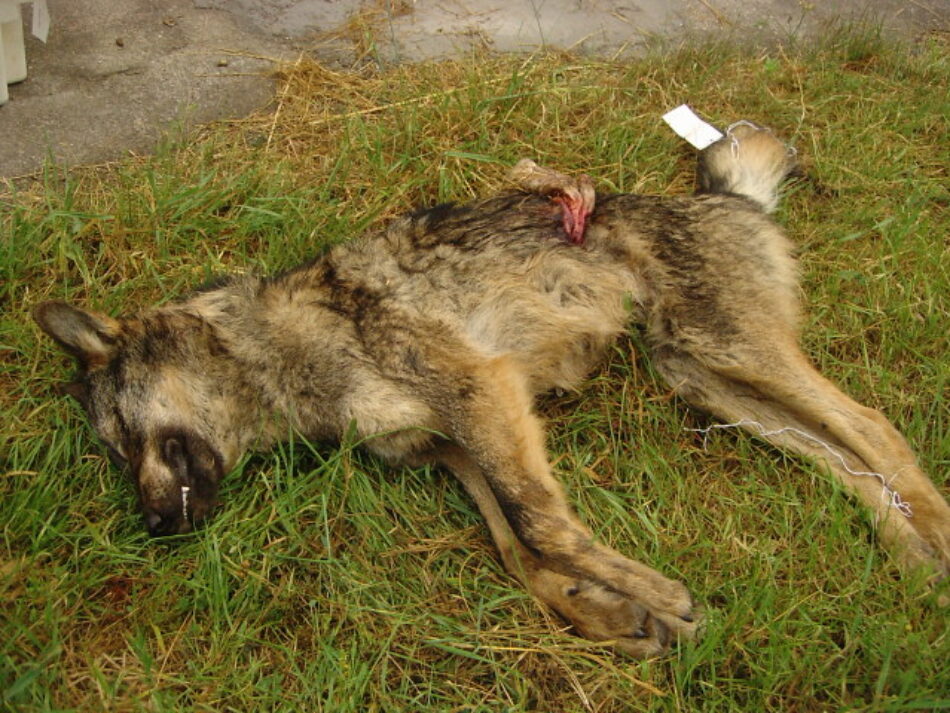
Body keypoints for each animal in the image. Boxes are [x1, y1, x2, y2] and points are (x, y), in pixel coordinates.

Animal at [33, 124, 950, 657]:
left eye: (122, 439)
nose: (153, 527)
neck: (279, 349)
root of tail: (722, 198)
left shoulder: (485, 395)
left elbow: (543, 526)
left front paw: (653, 592)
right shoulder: (452, 448)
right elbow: (516, 551)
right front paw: (610, 613)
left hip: (731, 350)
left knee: (878, 429)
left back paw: (936, 539)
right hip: (701, 377)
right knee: (845, 459)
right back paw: (910, 555)